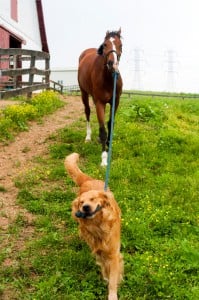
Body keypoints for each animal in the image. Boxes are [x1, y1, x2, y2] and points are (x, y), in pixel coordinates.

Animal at [64, 154, 123, 298]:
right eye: (81, 202)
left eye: (92, 199)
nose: (85, 207)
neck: (98, 225)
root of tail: (88, 180)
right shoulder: (99, 251)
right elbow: (104, 267)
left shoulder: (114, 254)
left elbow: (113, 278)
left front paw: (112, 294)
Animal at [78, 28, 123, 166]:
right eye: (105, 45)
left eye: (121, 45)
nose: (112, 64)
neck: (108, 79)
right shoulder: (100, 103)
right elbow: (103, 130)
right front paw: (104, 158)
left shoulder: (115, 102)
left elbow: (110, 124)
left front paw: (109, 145)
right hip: (84, 93)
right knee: (87, 112)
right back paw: (88, 137)